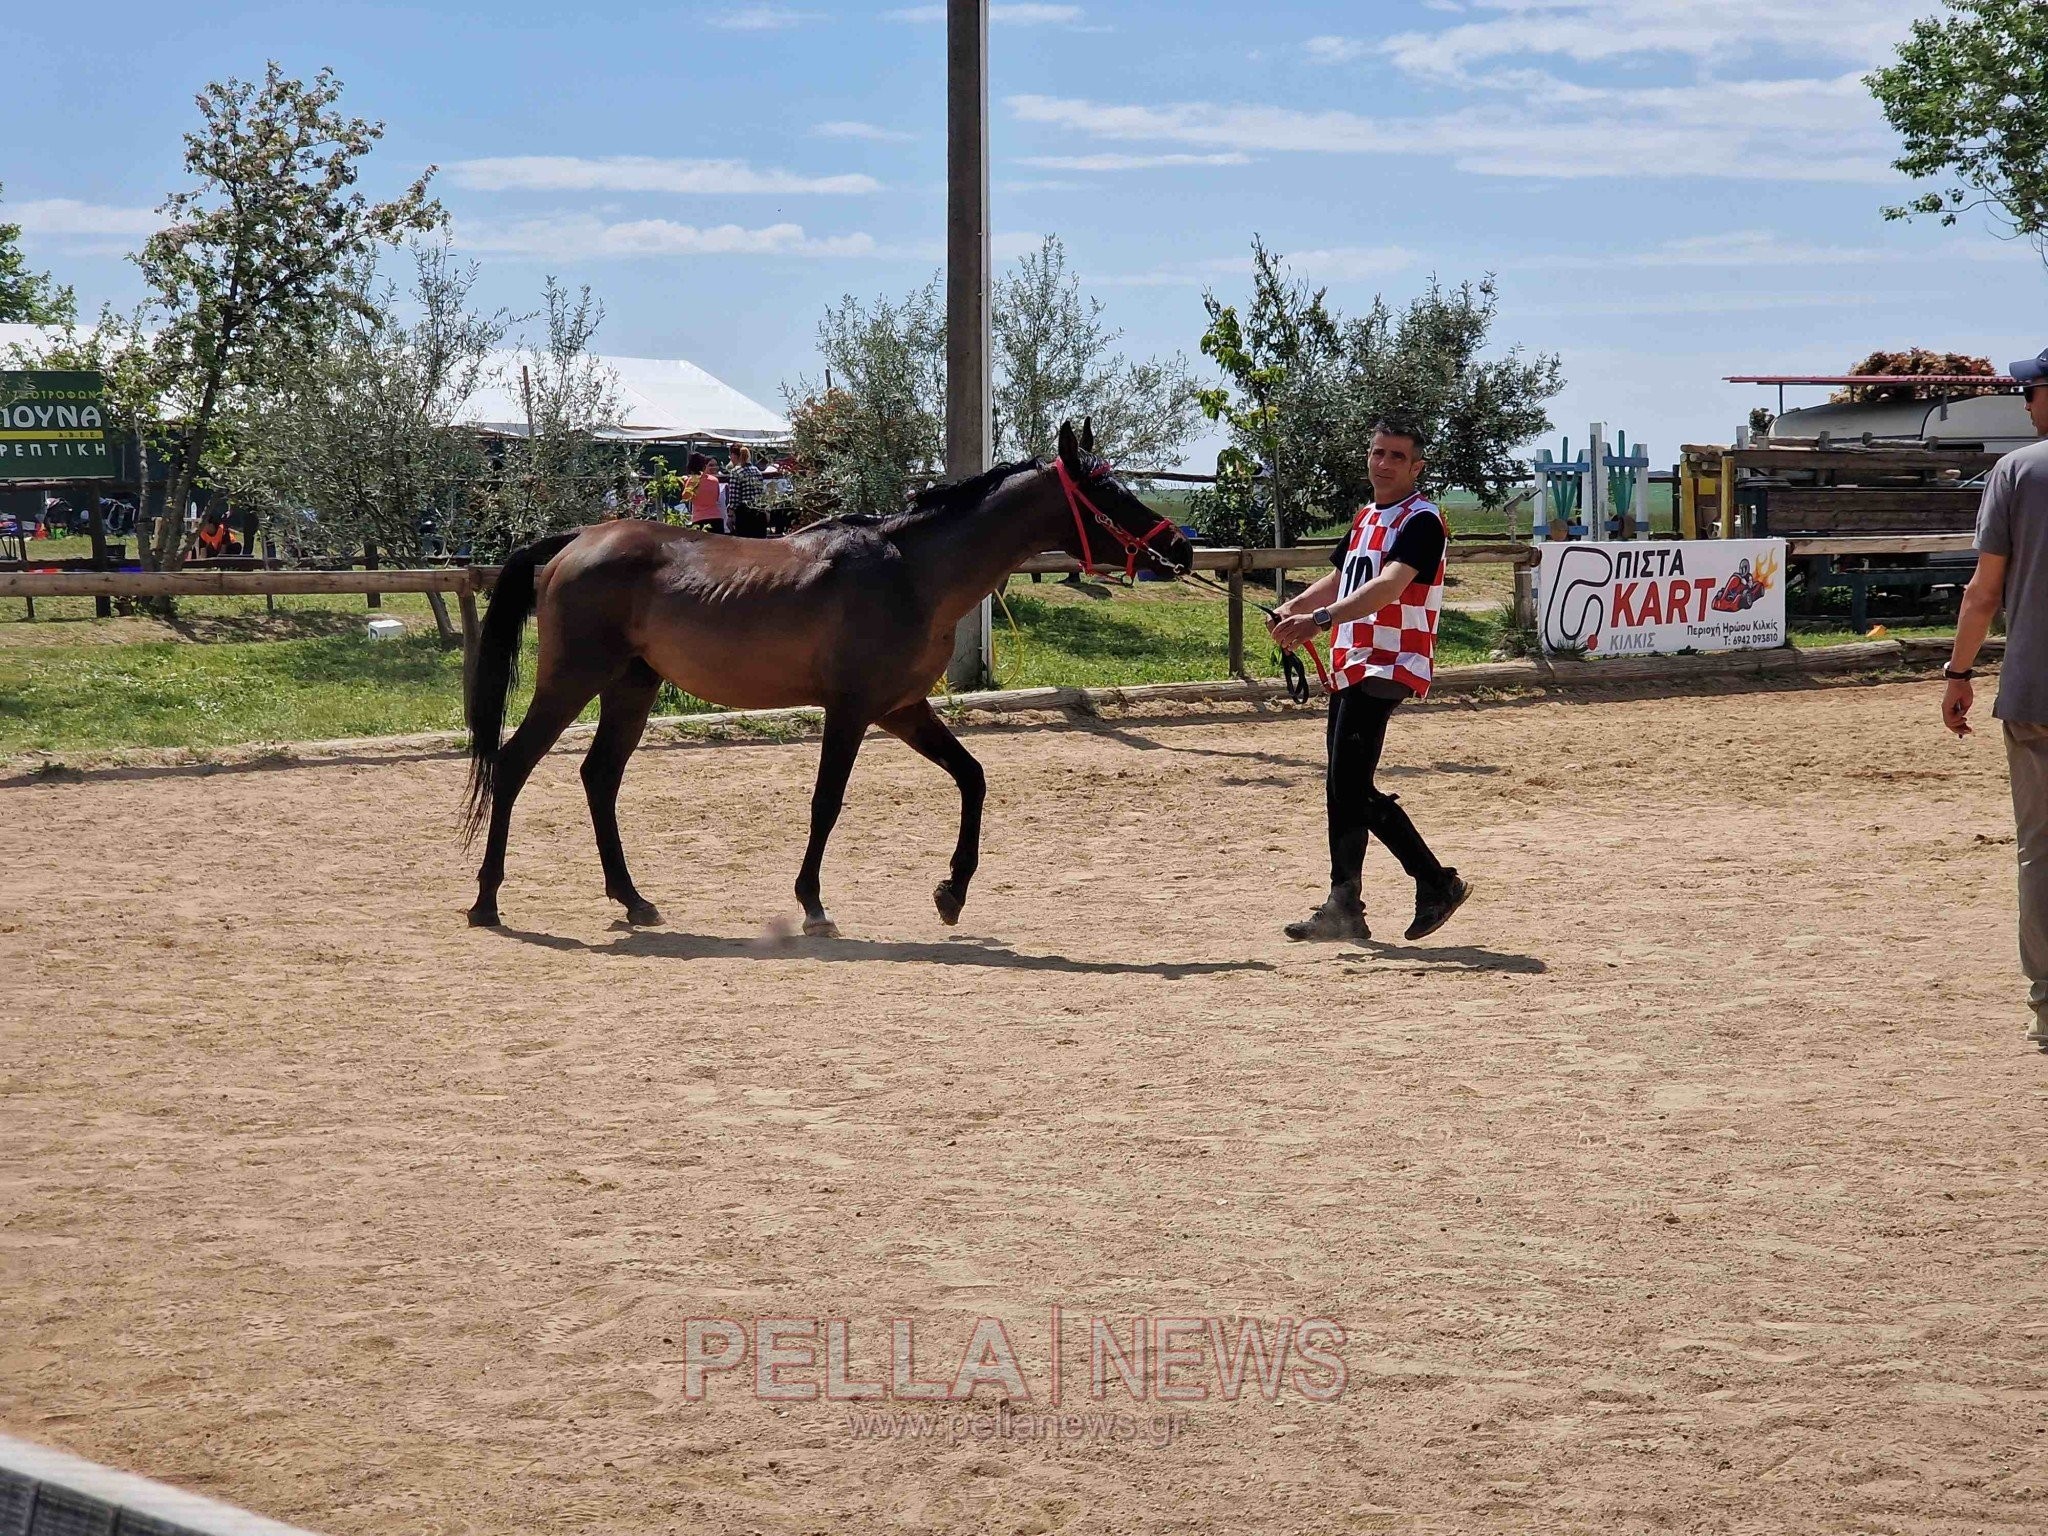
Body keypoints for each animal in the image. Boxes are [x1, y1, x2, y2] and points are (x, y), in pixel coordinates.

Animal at [460, 421, 1196, 937]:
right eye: (1106, 492)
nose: (1180, 547)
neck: (911, 572)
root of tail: (578, 539)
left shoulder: (902, 708)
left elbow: (973, 777)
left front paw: (951, 894)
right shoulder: (851, 709)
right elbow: (827, 802)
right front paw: (812, 905)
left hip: (631, 685)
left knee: (599, 778)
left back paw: (633, 899)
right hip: (573, 679)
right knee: (513, 763)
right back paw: (487, 900)